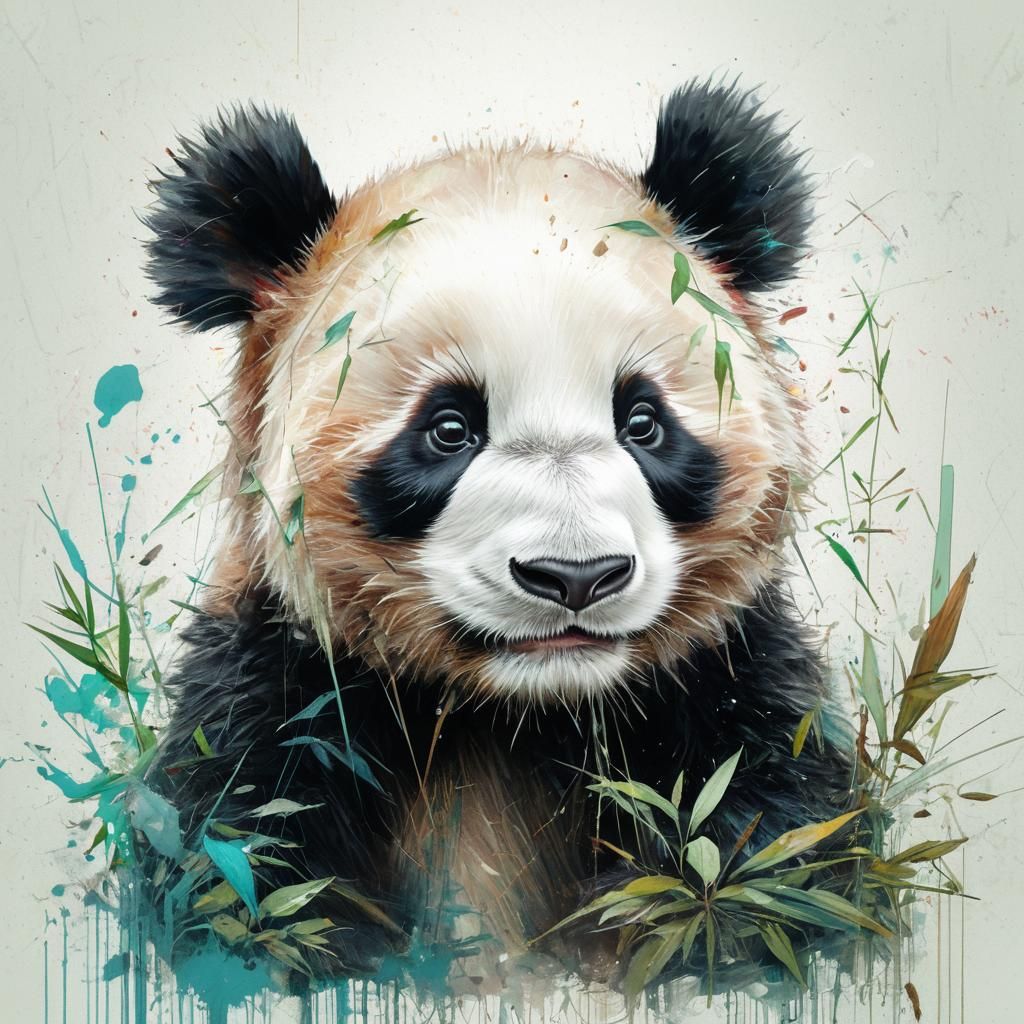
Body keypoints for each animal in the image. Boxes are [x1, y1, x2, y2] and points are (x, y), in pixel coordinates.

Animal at [143, 79, 853, 986]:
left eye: (643, 421)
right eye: (448, 428)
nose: (575, 576)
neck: (520, 715)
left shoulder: (731, 696)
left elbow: (760, 866)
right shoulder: (280, 694)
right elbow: (247, 872)